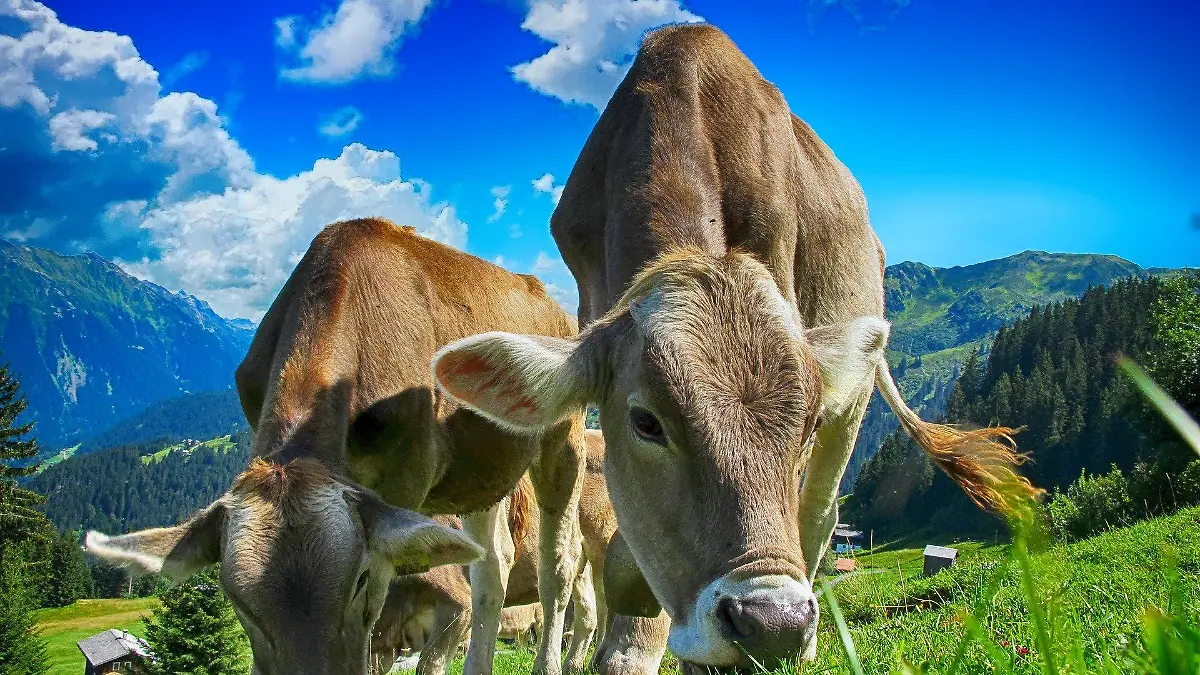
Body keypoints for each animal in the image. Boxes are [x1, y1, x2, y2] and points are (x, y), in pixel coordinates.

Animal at [85, 218, 589, 675]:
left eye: (360, 580)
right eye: (238, 602)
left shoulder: (404, 481)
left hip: (564, 439)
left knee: (557, 568)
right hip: (481, 471)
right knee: (493, 566)